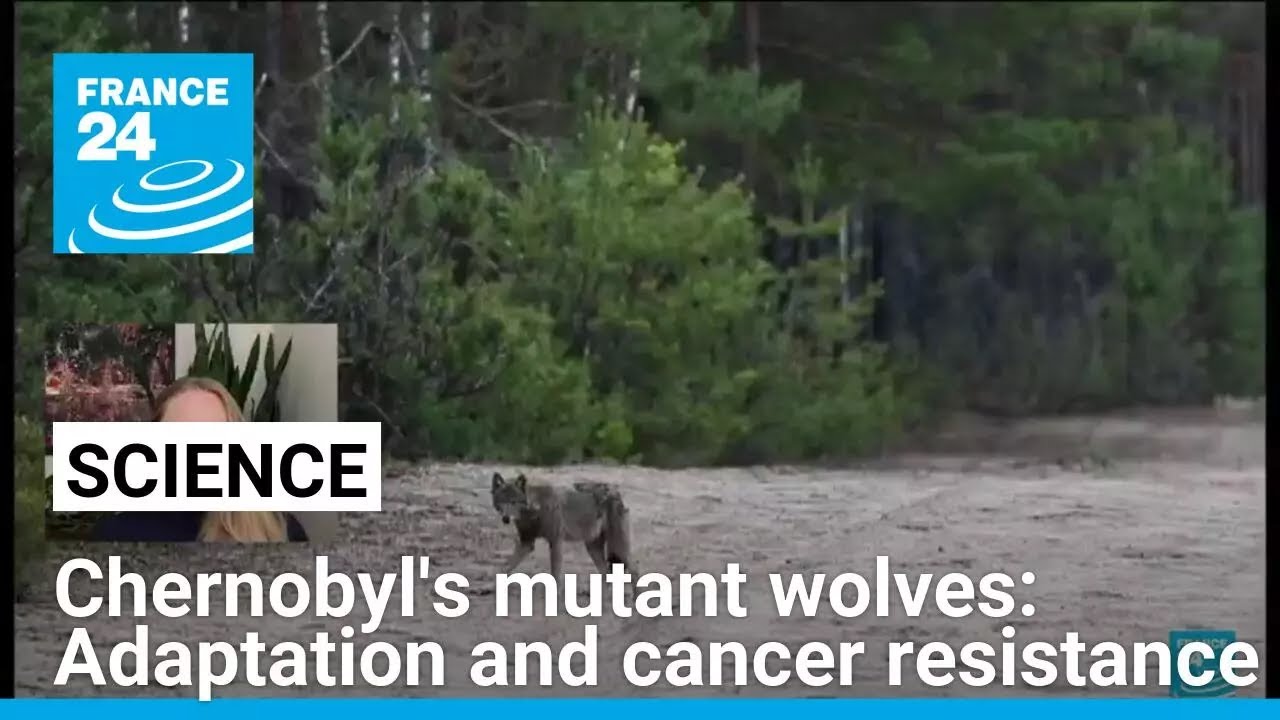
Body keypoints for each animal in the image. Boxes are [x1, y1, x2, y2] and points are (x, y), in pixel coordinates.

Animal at [490, 471, 635, 580]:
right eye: (501, 501)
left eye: (513, 502)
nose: (506, 518)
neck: (534, 510)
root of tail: (615, 491)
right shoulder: (526, 543)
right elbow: (504, 568)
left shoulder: (556, 541)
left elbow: (556, 576)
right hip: (593, 547)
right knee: (606, 574)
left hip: (618, 546)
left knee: (634, 570)